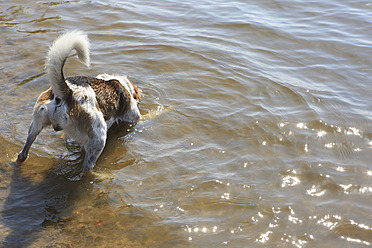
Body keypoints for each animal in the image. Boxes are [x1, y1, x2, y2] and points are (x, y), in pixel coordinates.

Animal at [16, 30, 142, 172]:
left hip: (36, 124)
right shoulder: (133, 116)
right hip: (99, 140)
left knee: (23, 153)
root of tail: (67, 93)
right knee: (86, 168)